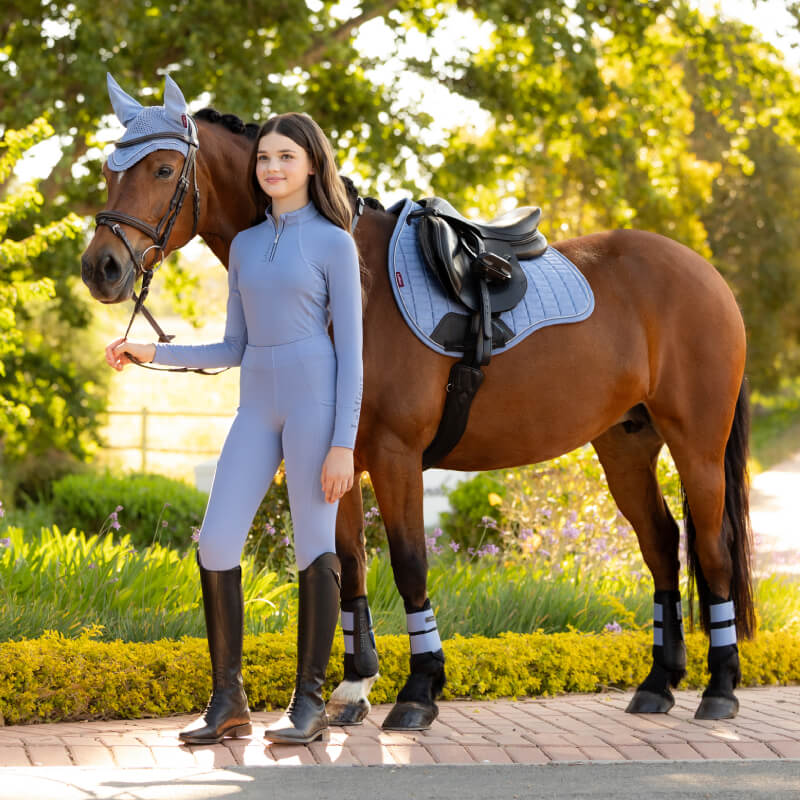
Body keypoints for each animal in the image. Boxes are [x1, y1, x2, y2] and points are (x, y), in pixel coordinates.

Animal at [81, 106, 754, 729]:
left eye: (163, 169)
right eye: (109, 171)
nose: (100, 267)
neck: (355, 283)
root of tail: (708, 275)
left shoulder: (395, 455)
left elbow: (407, 562)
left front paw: (419, 691)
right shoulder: (340, 459)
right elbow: (349, 562)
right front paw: (353, 688)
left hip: (696, 445)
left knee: (713, 550)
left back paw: (720, 690)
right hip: (625, 445)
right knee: (662, 545)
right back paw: (659, 683)